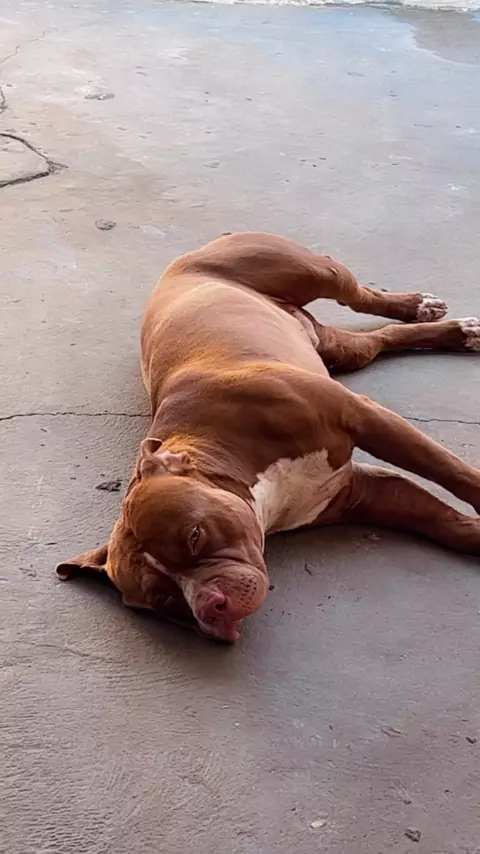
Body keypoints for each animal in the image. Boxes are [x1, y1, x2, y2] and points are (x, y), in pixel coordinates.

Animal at [57, 232, 480, 643]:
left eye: (195, 536)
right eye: (165, 601)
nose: (210, 607)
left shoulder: (366, 419)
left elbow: (452, 472)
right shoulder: (362, 493)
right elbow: (444, 522)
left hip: (313, 271)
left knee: (359, 296)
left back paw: (423, 306)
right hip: (337, 348)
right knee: (378, 340)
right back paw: (457, 333)